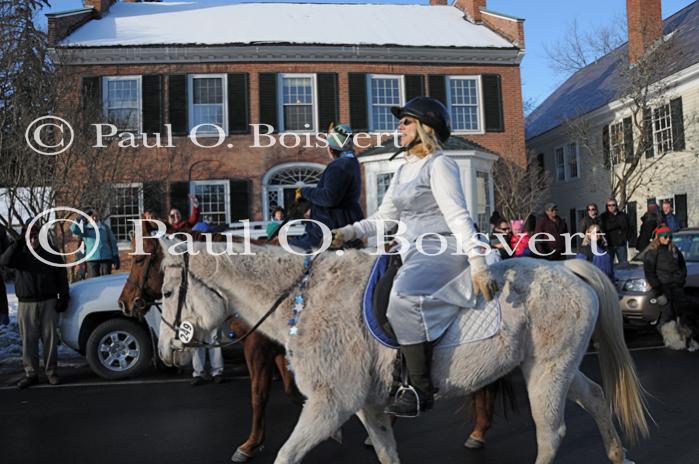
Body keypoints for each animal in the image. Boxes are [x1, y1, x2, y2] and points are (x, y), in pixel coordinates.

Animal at [119, 224, 508, 460]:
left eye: (141, 260)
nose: (125, 304)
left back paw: (475, 430)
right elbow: (287, 392)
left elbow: (261, 397)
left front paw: (250, 444)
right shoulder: (282, 353)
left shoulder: (266, 353)